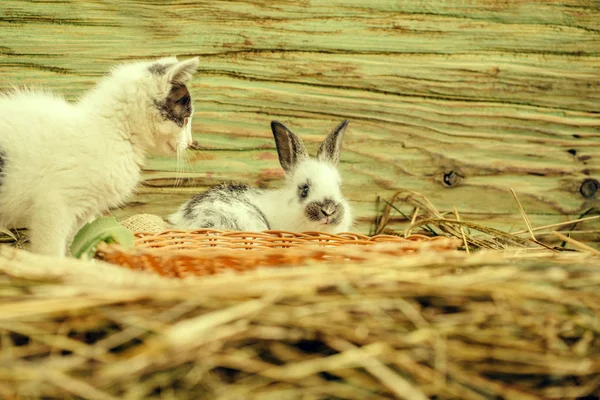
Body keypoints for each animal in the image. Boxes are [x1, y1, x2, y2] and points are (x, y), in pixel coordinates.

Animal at [0, 55, 202, 256]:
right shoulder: (54, 207)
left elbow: (78, 241)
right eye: (185, 119)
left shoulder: (84, 209)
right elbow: (51, 251)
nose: (190, 142)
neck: (113, 131)